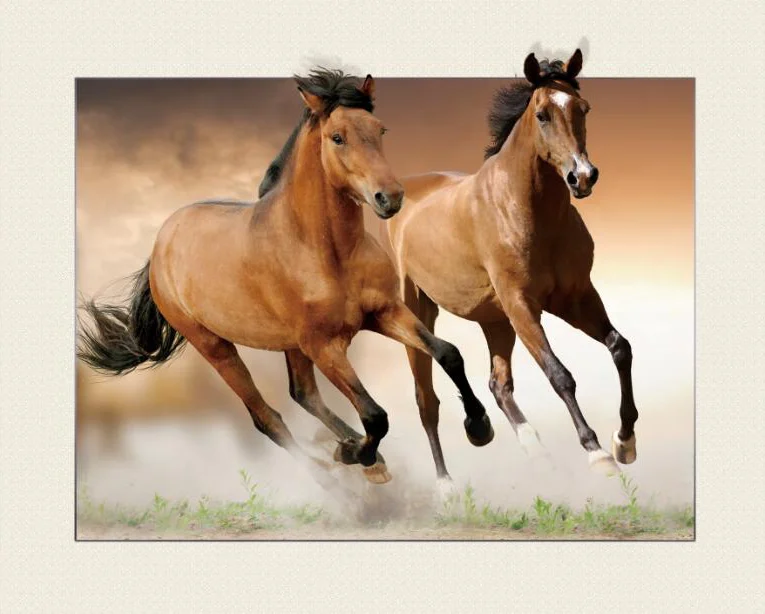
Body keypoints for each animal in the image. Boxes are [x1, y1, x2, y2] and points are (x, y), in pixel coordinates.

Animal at [77, 68, 494, 496]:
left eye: (381, 129)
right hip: (216, 347)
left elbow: (448, 353)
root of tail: (161, 243)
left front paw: (479, 427)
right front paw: (356, 455)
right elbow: (375, 414)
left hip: (289, 344)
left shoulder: (384, 313)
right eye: (337, 137)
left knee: (303, 394)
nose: (390, 198)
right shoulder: (324, 345)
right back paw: (336, 474)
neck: (327, 251)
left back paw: (354, 452)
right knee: (267, 418)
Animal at [387, 50, 639, 480]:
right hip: (420, 313)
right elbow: (559, 374)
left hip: (495, 320)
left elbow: (620, 348)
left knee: (498, 384)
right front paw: (597, 453)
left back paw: (532, 449)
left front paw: (624, 442)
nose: (582, 177)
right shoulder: (523, 305)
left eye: (583, 108)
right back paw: (447, 483)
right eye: (542, 114)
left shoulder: (576, 297)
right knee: (427, 401)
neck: (527, 210)